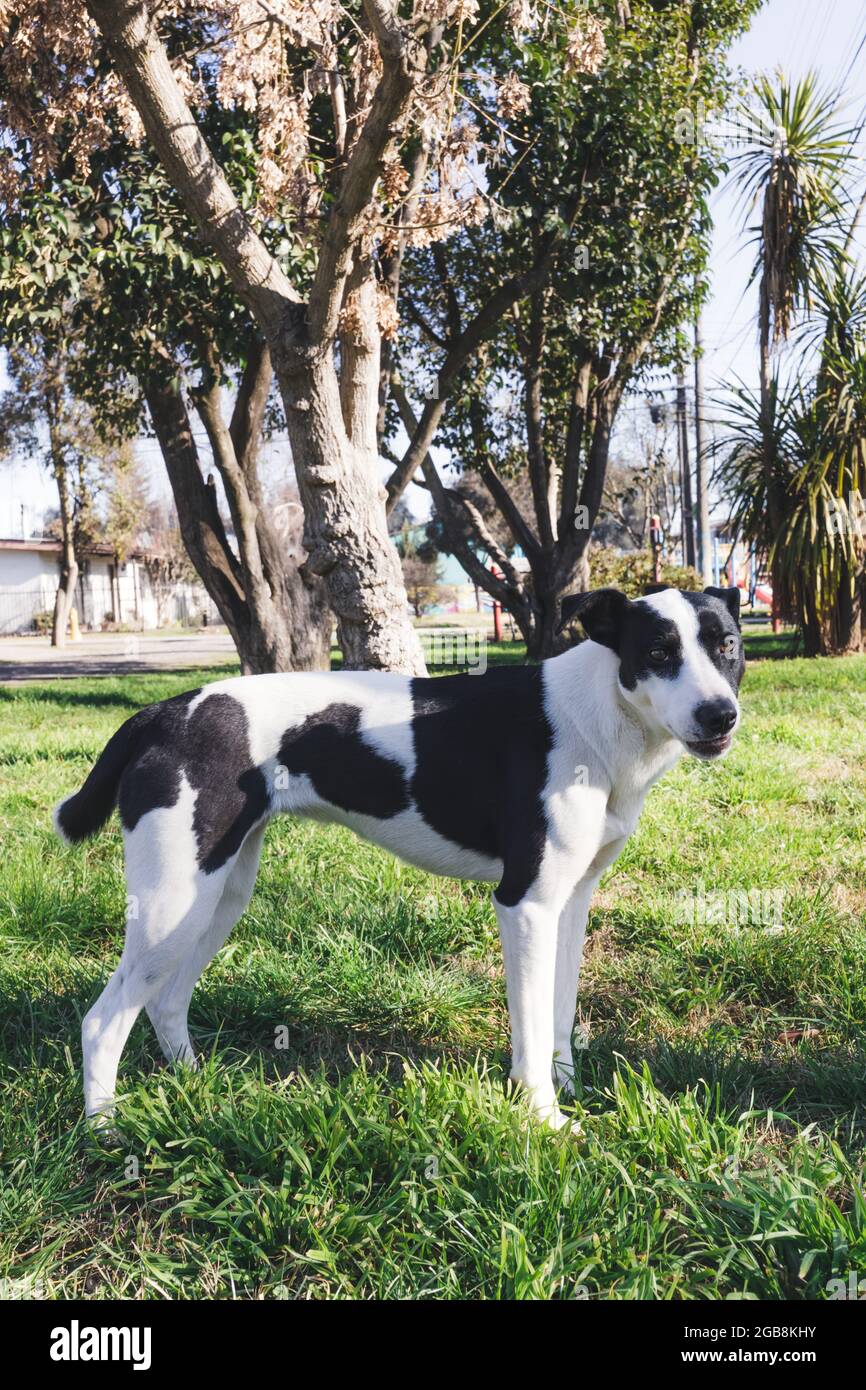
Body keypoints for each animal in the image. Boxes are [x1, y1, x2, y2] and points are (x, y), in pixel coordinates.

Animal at [54, 581, 745, 1134]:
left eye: (728, 646)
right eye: (658, 653)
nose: (720, 716)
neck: (600, 715)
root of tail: (164, 712)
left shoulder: (570, 904)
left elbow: (559, 1017)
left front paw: (568, 1090)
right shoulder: (525, 906)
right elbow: (529, 1030)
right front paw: (545, 1122)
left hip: (216, 898)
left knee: (165, 1002)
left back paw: (195, 1085)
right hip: (172, 904)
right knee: (102, 1022)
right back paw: (105, 1130)